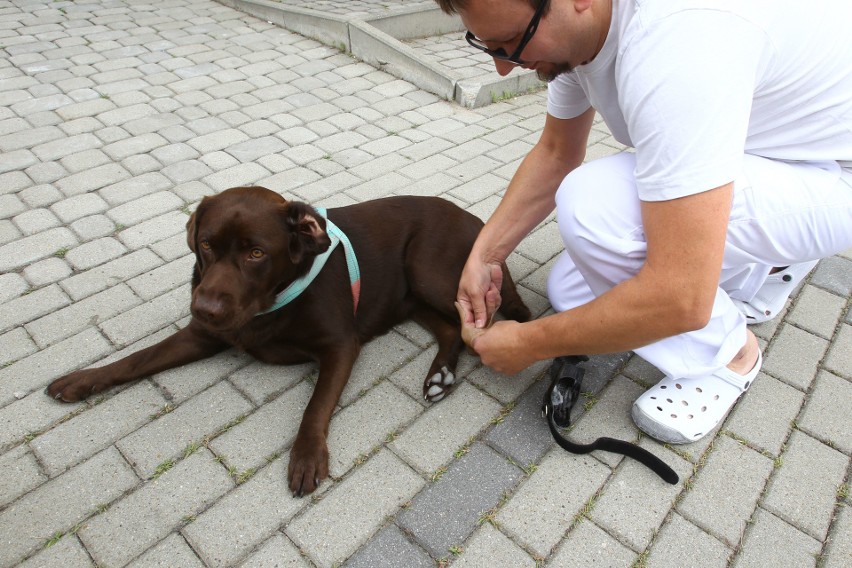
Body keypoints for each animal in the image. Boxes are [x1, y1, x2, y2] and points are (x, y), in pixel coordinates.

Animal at [46, 185, 528, 492]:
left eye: (256, 252)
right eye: (206, 245)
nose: (205, 308)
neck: (270, 301)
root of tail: (477, 220)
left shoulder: (340, 346)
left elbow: (314, 408)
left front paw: (306, 457)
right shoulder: (202, 336)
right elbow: (137, 358)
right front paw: (81, 380)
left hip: (427, 269)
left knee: (485, 315)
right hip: (408, 295)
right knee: (453, 329)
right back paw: (439, 375)